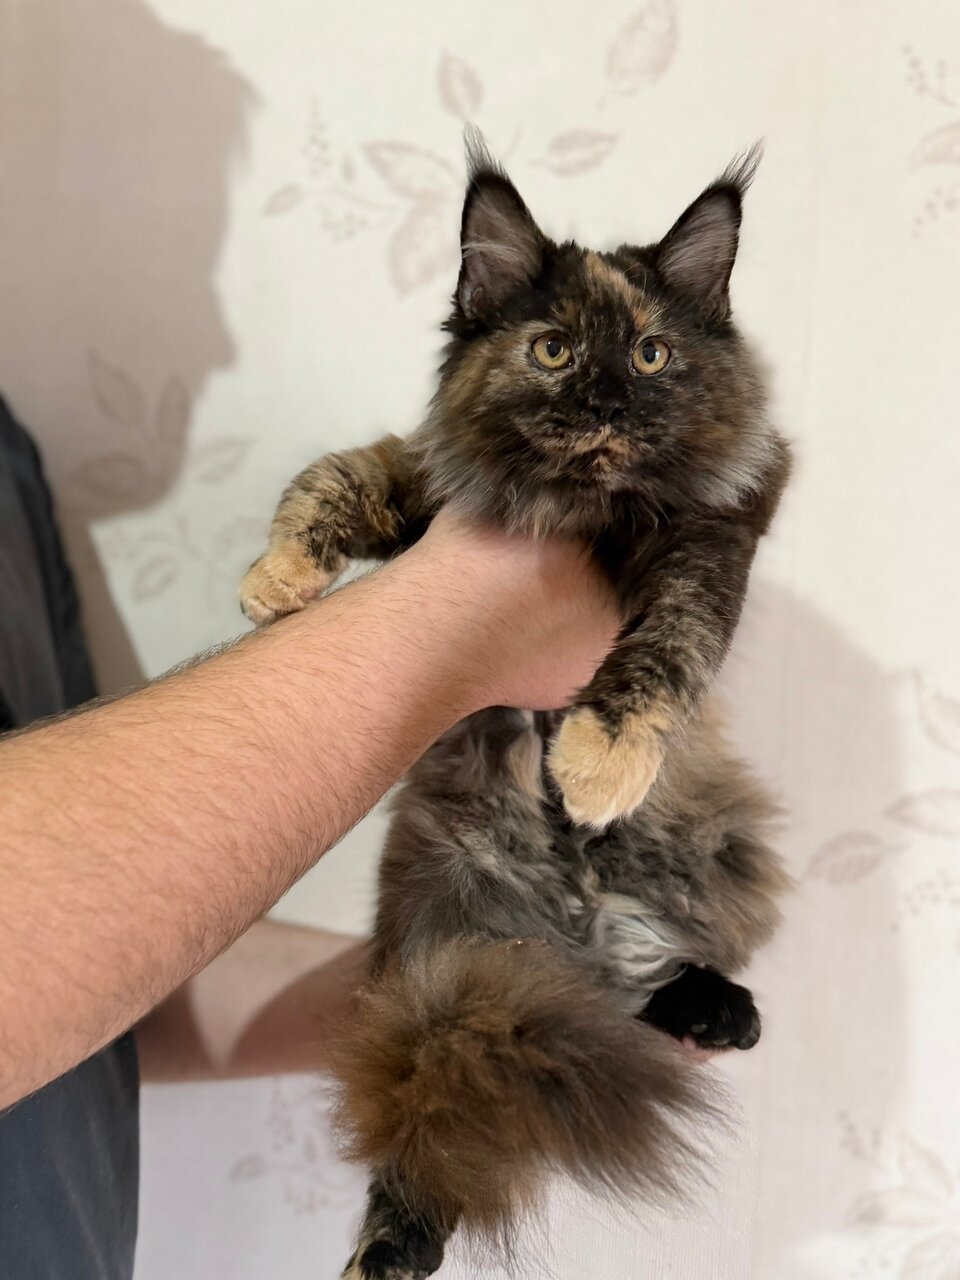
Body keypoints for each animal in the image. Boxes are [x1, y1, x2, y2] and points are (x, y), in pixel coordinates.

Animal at [240, 131, 791, 1279]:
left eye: (654, 357)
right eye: (551, 350)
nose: (608, 405)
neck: (582, 509)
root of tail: (570, 938)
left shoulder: (713, 535)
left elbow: (668, 645)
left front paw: (597, 760)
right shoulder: (423, 480)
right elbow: (328, 479)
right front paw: (276, 581)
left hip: (717, 861)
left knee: (656, 975)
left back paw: (718, 1008)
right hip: (443, 980)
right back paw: (389, 1250)